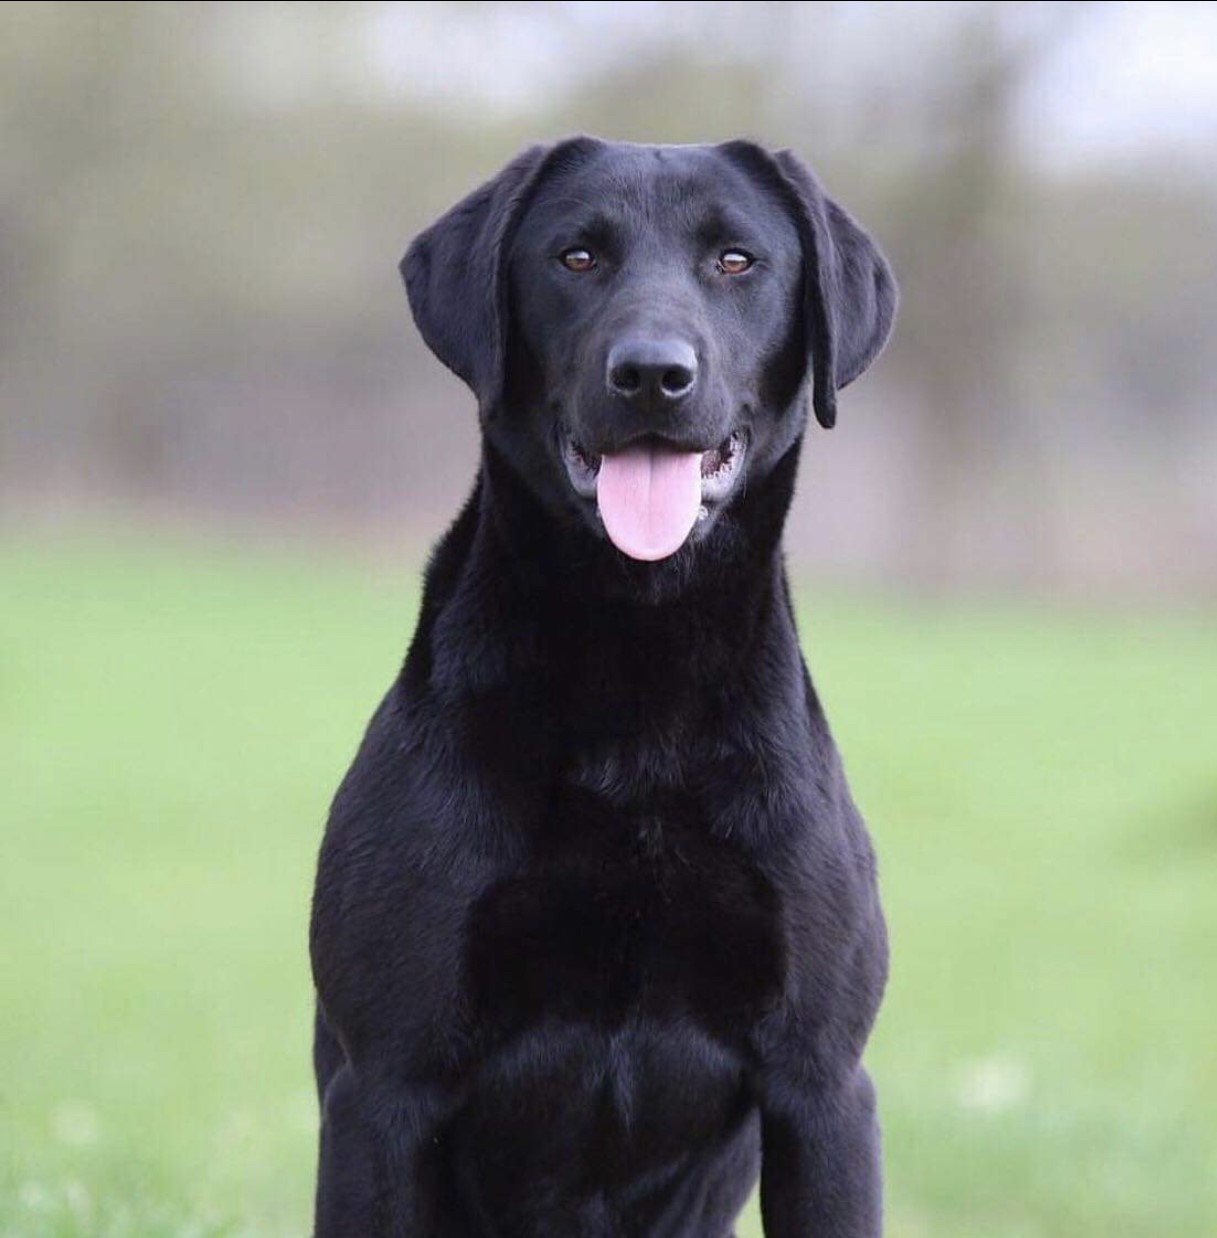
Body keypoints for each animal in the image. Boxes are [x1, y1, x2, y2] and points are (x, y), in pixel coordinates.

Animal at [311, 138, 906, 1238]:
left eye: (735, 259)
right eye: (576, 257)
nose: (651, 375)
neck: (639, 661)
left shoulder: (822, 1083)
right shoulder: (385, 1083)